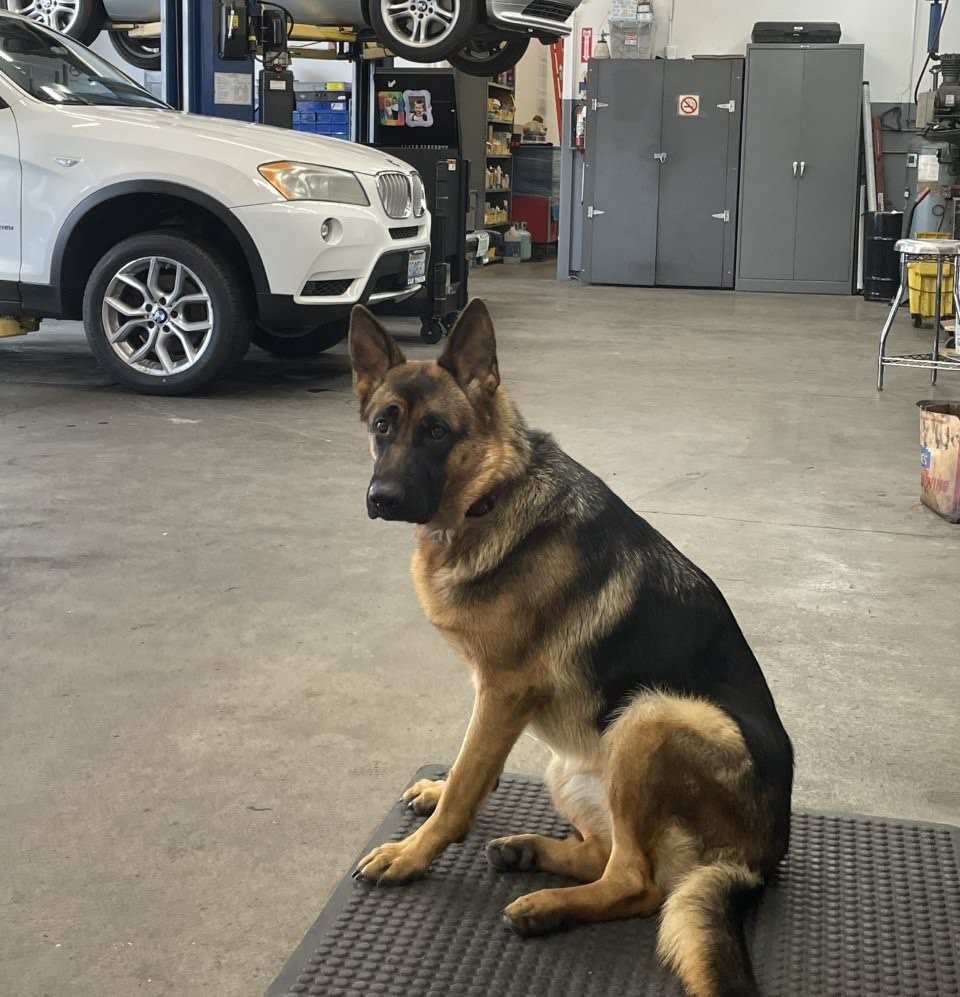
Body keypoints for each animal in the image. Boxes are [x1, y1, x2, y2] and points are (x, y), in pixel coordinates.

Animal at [348, 298, 792, 996]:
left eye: (439, 433)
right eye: (383, 425)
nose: (382, 499)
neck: (489, 497)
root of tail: (761, 859)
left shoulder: (504, 692)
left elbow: (467, 782)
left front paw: (412, 854)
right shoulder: (492, 698)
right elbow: (469, 768)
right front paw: (436, 790)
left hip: (652, 716)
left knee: (638, 884)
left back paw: (546, 906)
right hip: (572, 764)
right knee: (606, 855)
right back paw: (530, 852)